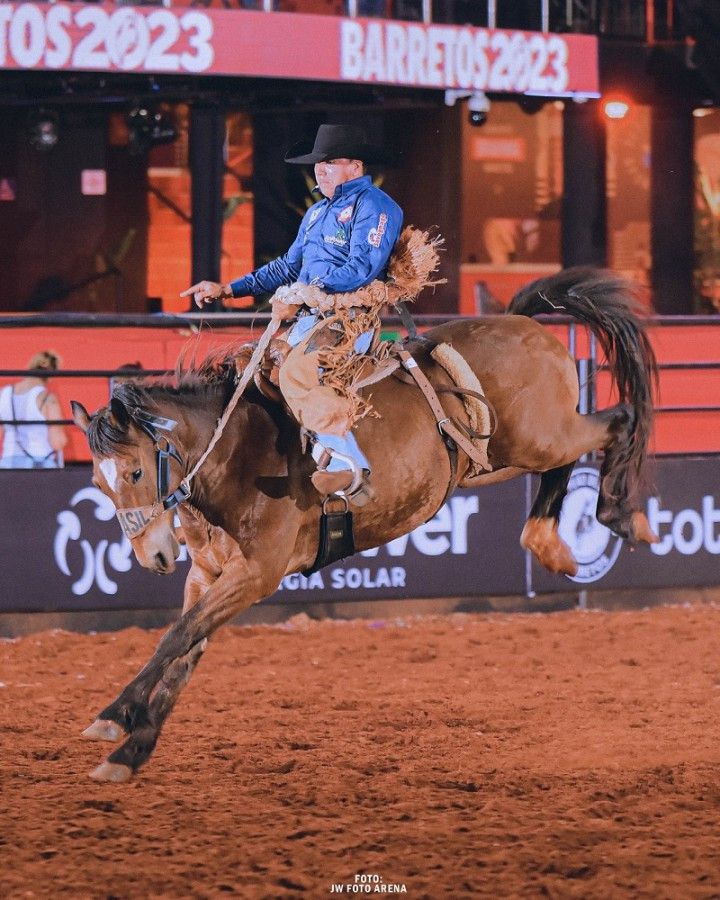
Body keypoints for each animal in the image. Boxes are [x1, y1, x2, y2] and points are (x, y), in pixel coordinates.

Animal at [71, 267, 658, 782]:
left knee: (619, 420)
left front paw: (114, 716)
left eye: (135, 470)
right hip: (505, 457)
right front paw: (131, 751)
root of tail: (523, 323)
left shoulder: (256, 574)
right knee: (574, 456)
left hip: (542, 436)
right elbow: (185, 649)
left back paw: (624, 516)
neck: (237, 448)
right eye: (99, 482)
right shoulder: (207, 574)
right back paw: (550, 542)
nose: (152, 555)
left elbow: (177, 636)